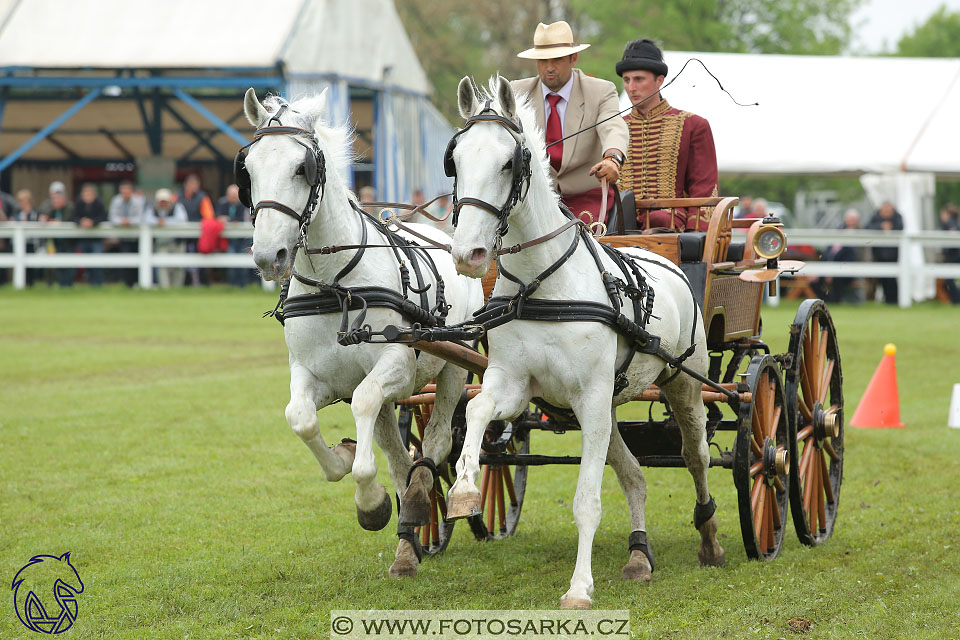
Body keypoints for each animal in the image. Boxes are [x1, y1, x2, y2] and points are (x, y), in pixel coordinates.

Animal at [238, 87, 480, 576]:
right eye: (248, 169)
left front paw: (370, 502)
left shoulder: (395, 364)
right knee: (398, 451)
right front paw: (348, 460)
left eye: (302, 167)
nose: (268, 256)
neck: (335, 284)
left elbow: (368, 415)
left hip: (453, 368)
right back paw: (410, 534)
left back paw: (420, 500)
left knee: (436, 439)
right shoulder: (316, 374)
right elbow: (301, 417)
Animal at [446, 77, 724, 608]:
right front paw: (463, 489)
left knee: (696, 455)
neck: (542, 286)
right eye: (455, 160)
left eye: (508, 163)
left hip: (682, 383)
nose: (468, 254)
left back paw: (710, 538)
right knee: (633, 472)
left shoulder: (591, 394)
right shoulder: (516, 384)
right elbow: (476, 409)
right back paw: (639, 555)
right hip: (606, 405)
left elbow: (586, 502)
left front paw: (579, 587)